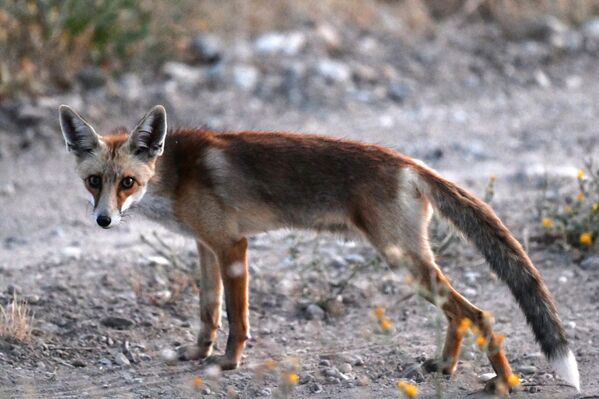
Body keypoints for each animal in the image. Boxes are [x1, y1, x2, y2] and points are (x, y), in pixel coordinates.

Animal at [58, 104, 580, 396]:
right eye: (94, 182)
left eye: (127, 182)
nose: (103, 220)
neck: (175, 177)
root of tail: (408, 162)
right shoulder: (206, 247)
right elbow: (208, 311)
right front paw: (197, 352)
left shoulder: (232, 245)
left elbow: (237, 320)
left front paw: (228, 364)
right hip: (410, 263)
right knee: (459, 314)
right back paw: (446, 368)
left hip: (401, 259)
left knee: (479, 313)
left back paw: (503, 383)